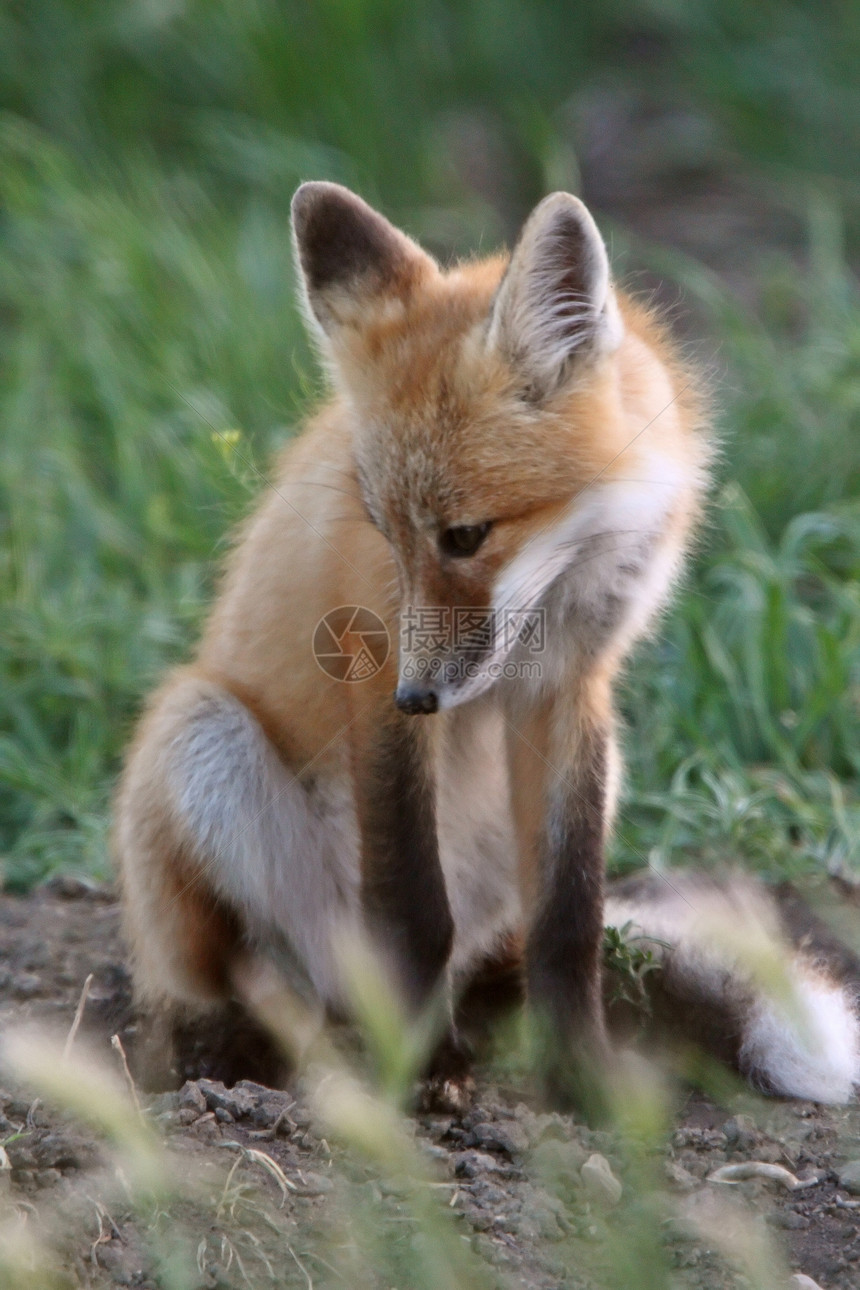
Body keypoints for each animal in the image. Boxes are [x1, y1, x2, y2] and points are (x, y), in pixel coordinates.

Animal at [116, 179, 860, 1109]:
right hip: (201, 737)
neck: (559, 586)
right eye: (385, 531)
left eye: (465, 535)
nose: (421, 695)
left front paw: (581, 1078)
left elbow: (569, 919)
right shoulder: (375, 675)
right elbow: (411, 908)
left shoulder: (572, 689)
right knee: (239, 980)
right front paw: (420, 1071)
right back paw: (236, 1049)